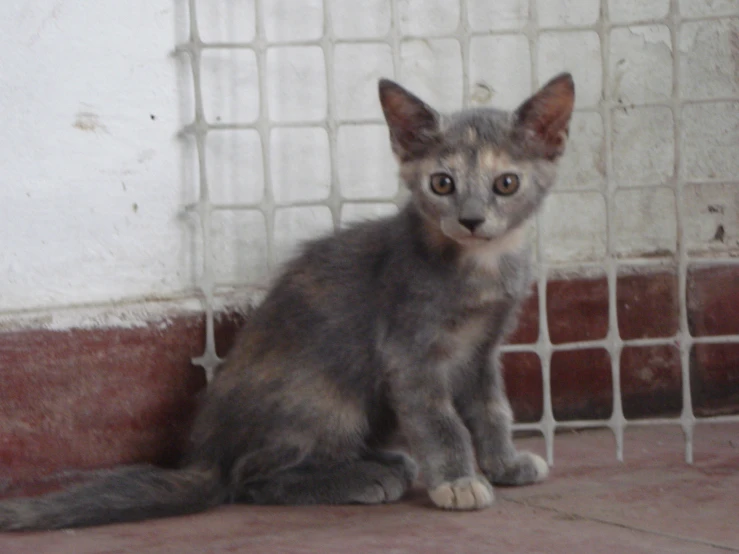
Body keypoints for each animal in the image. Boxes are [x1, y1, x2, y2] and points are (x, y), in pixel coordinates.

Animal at [0, 71, 576, 528]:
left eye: (506, 183)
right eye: (442, 183)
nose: (472, 219)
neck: (482, 267)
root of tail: (206, 454)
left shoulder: (481, 353)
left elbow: (492, 409)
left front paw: (504, 464)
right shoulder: (410, 356)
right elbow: (442, 423)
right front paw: (456, 481)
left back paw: (380, 463)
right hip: (327, 395)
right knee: (249, 478)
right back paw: (360, 478)